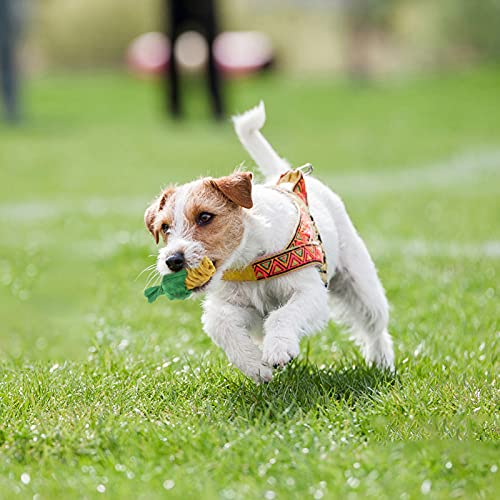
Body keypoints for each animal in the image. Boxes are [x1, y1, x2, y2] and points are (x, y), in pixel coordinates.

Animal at [145, 102, 394, 382]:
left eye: (205, 216)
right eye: (165, 227)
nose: (173, 260)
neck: (250, 260)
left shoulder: (310, 293)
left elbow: (282, 315)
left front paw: (278, 349)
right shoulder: (240, 307)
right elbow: (220, 324)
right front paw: (255, 365)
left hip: (361, 285)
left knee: (375, 327)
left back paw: (382, 363)